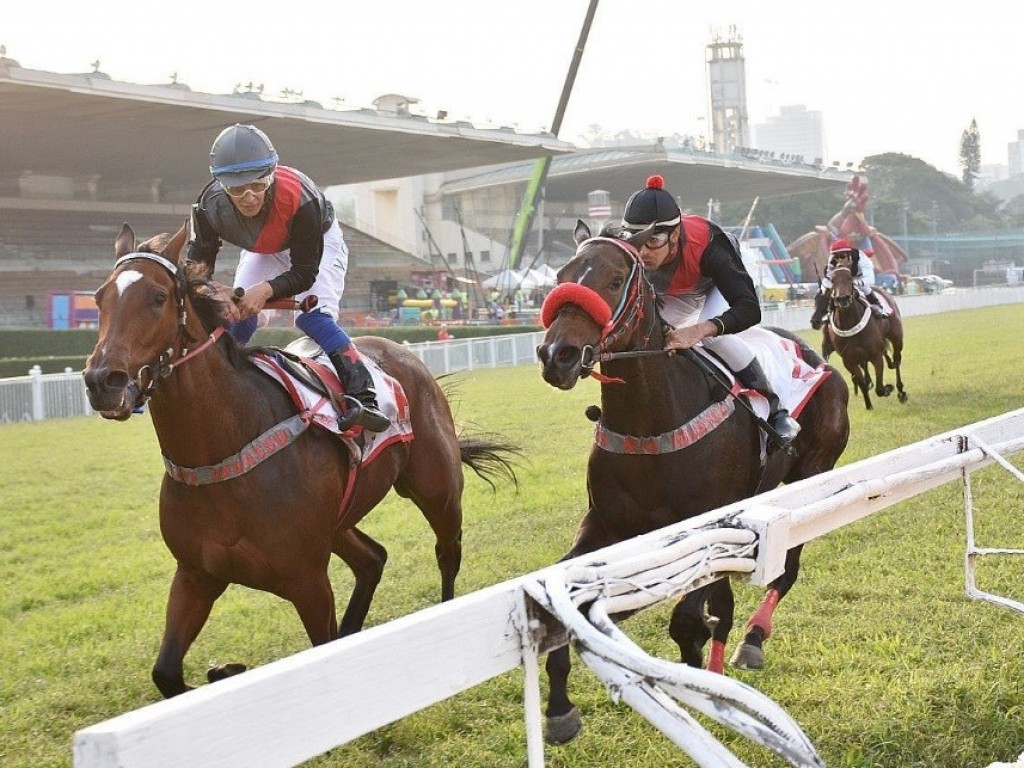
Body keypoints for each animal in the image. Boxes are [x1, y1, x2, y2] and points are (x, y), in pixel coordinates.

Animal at [81, 221, 520, 696]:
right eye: (100, 297)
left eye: (158, 297)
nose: (102, 380)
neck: (221, 452)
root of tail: (402, 354)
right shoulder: (196, 574)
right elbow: (165, 673)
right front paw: (225, 671)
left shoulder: (308, 579)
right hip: (337, 522)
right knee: (373, 559)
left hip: (436, 489)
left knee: (447, 552)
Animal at [532, 221, 851, 745]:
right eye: (560, 276)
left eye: (616, 279)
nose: (556, 355)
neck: (652, 426)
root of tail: (815, 357)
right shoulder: (606, 524)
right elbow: (563, 599)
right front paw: (559, 707)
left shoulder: (704, 526)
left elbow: (685, 620)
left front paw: (694, 670)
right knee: (728, 598)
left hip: (812, 473)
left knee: (785, 571)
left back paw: (753, 639)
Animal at [819, 266, 909, 411]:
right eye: (832, 281)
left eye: (850, 279)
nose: (842, 298)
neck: (850, 323)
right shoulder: (849, 360)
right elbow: (862, 384)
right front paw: (868, 405)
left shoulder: (875, 355)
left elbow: (879, 388)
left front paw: (888, 388)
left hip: (897, 338)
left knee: (897, 360)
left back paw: (901, 391)